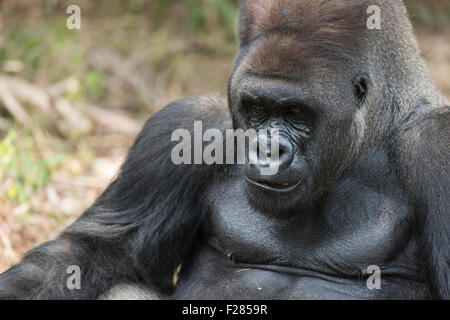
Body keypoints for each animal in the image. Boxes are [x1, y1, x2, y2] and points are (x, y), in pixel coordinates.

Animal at [0, 0, 450, 300]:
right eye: (255, 108)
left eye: (296, 112)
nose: (268, 150)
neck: (374, 128)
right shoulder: (182, 127)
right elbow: (97, 254)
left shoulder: (438, 147)